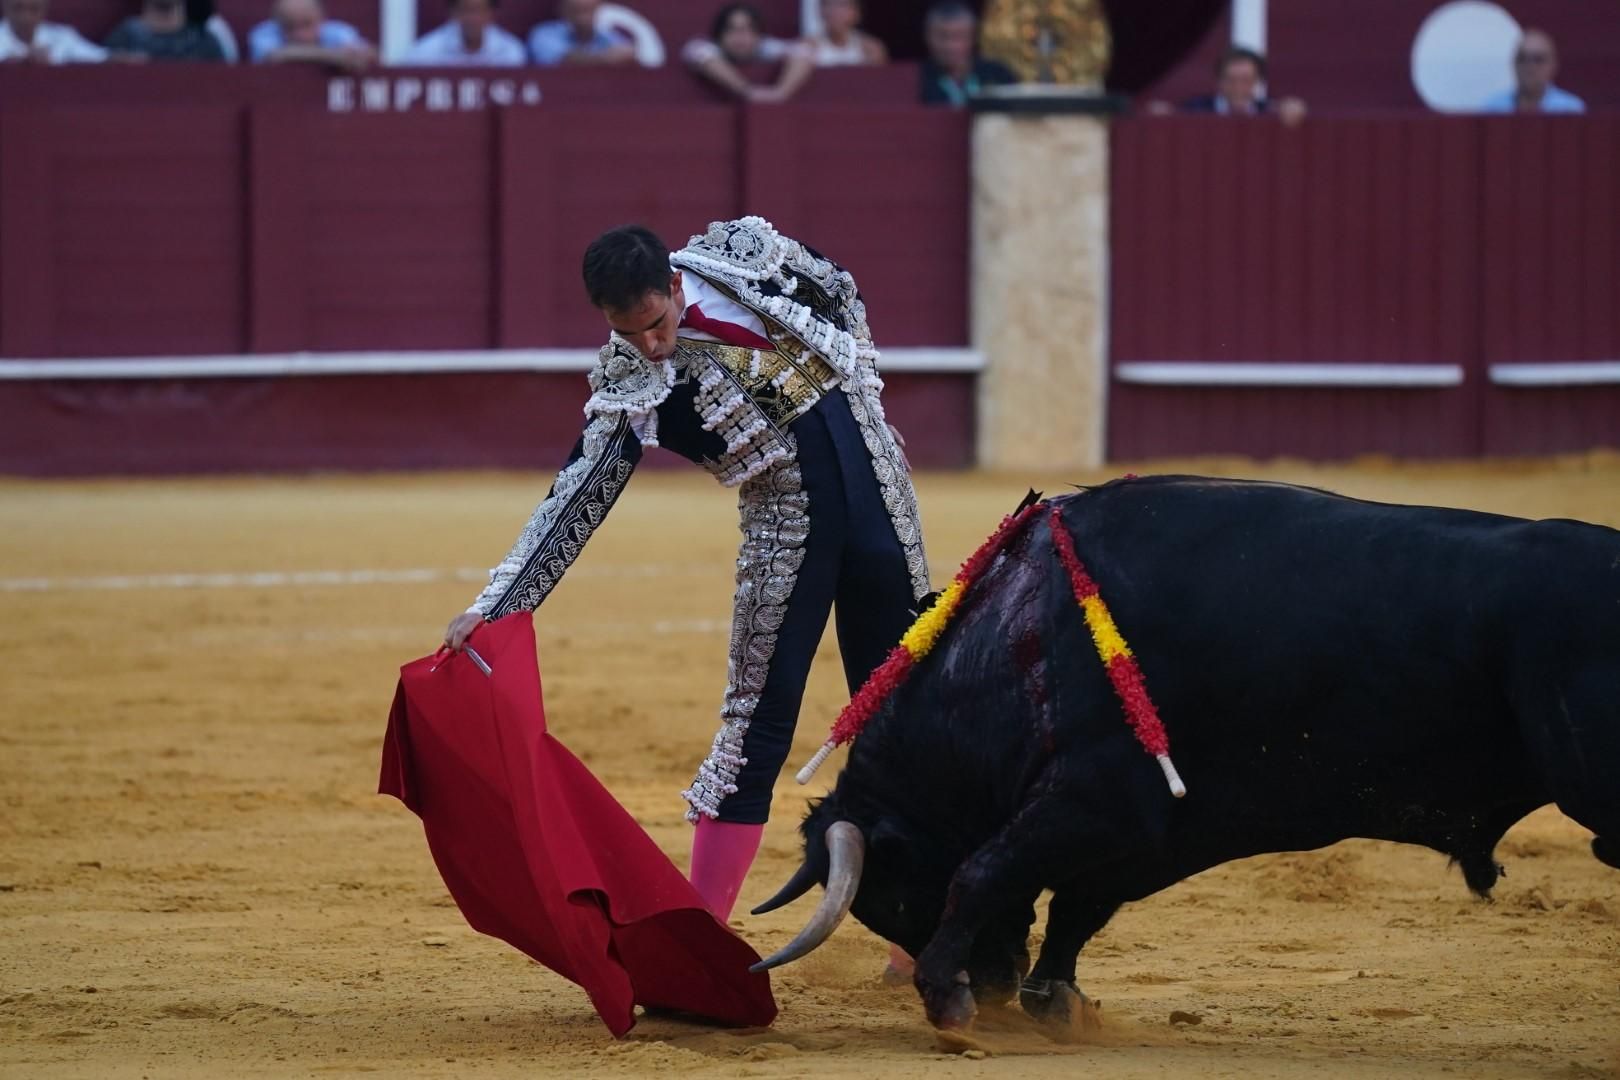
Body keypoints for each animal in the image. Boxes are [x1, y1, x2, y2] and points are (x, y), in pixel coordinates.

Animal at [745, 479, 1620, 1029]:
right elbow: (1075, 906)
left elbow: (986, 872)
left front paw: (945, 999)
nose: (987, 986)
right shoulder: (1150, 832)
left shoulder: (1097, 800)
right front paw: (1053, 1001)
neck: (1021, 639)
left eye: (892, 902)